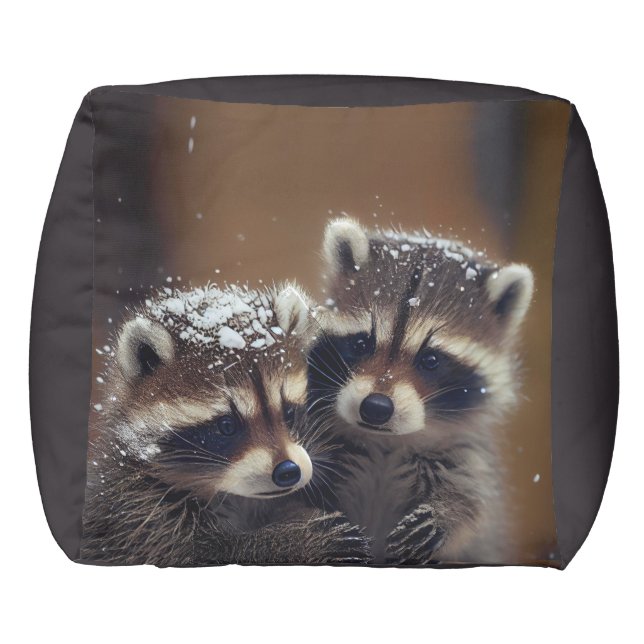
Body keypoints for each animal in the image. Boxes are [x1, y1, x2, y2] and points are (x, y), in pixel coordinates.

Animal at [81, 281, 369, 566]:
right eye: (227, 426)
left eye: (288, 412)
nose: (288, 471)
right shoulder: (138, 512)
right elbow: (204, 551)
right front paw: (292, 538)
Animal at [307, 219, 534, 565]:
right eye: (361, 344)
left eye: (430, 360)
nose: (375, 407)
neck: (386, 443)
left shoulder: (464, 454)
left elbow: (474, 501)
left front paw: (447, 513)